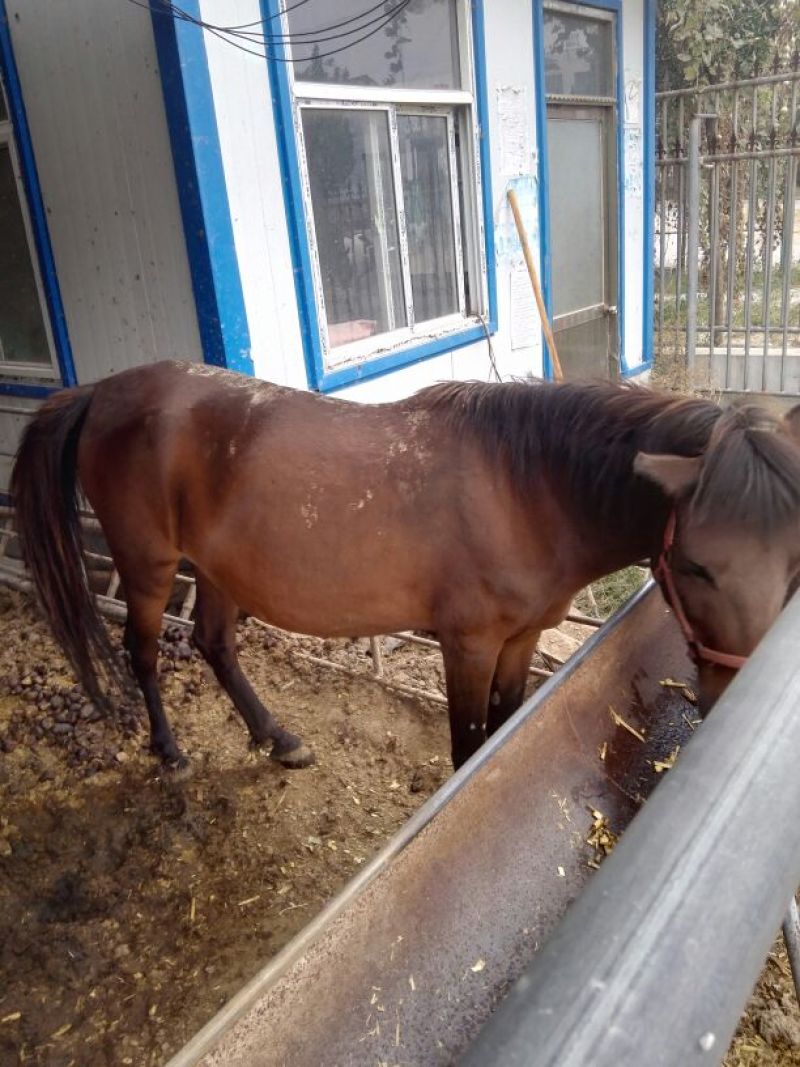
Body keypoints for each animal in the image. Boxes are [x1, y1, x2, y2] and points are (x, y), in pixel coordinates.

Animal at [10, 361, 800, 773]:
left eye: (793, 565)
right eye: (694, 566)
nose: (735, 706)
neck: (526, 486)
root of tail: (104, 389)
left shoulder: (520, 640)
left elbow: (503, 723)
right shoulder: (468, 644)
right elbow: (469, 741)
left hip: (216, 569)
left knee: (213, 643)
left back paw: (277, 739)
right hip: (148, 567)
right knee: (142, 652)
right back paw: (169, 751)